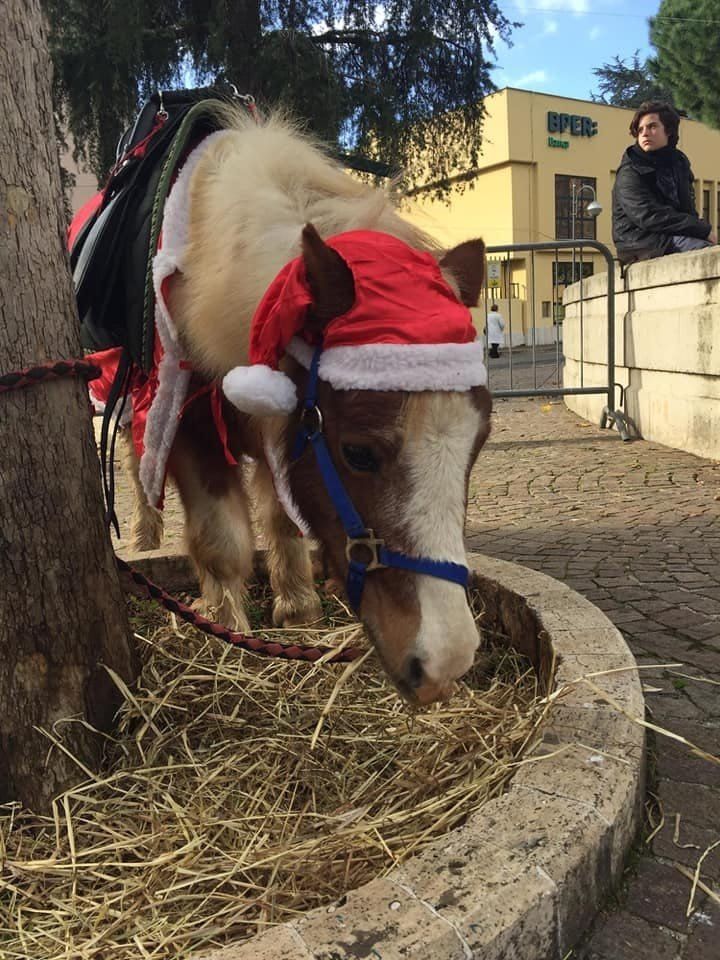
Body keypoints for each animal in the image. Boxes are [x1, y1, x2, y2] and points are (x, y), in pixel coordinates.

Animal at [116, 104, 492, 705]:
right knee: (137, 471)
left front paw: (298, 608)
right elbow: (222, 541)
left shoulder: (283, 428)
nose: (444, 665)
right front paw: (226, 628)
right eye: (357, 452)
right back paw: (145, 538)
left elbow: (284, 518)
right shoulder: (191, 428)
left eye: (479, 442)